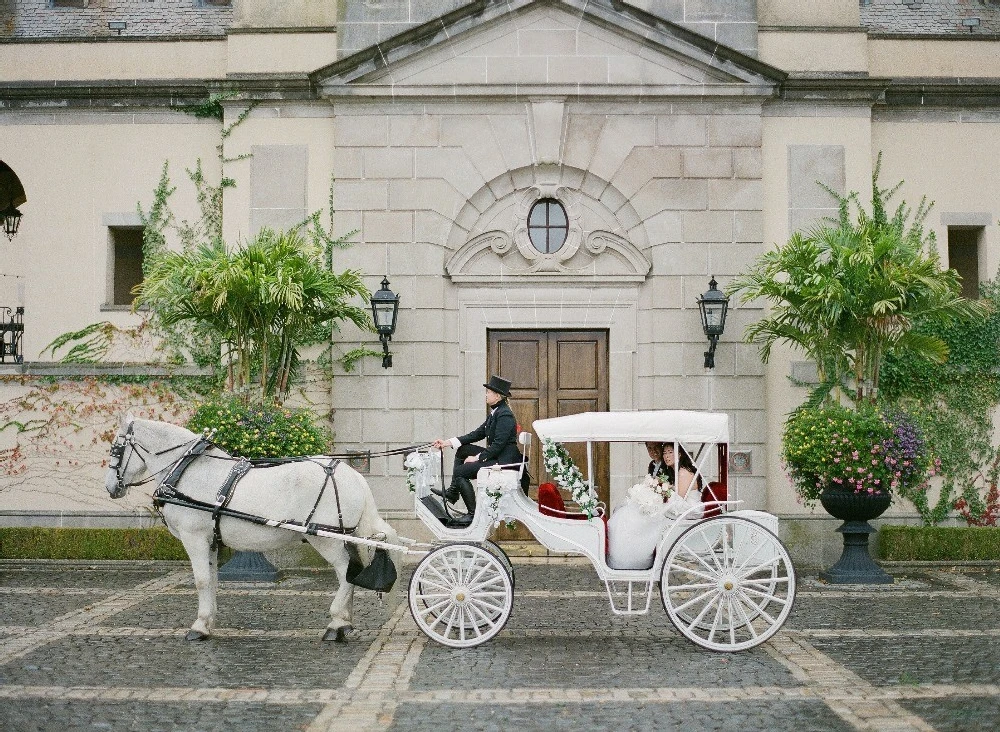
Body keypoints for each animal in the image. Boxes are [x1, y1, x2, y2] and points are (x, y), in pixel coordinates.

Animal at [101, 414, 398, 644]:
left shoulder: (194, 538)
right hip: (343, 537)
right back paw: (346, 622)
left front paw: (199, 627)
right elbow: (212, 580)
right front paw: (208, 622)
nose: (110, 487)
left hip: (326, 540)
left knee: (347, 574)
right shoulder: (210, 541)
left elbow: (201, 580)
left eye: (116, 448)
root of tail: (354, 475)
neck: (187, 470)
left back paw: (336, 624)